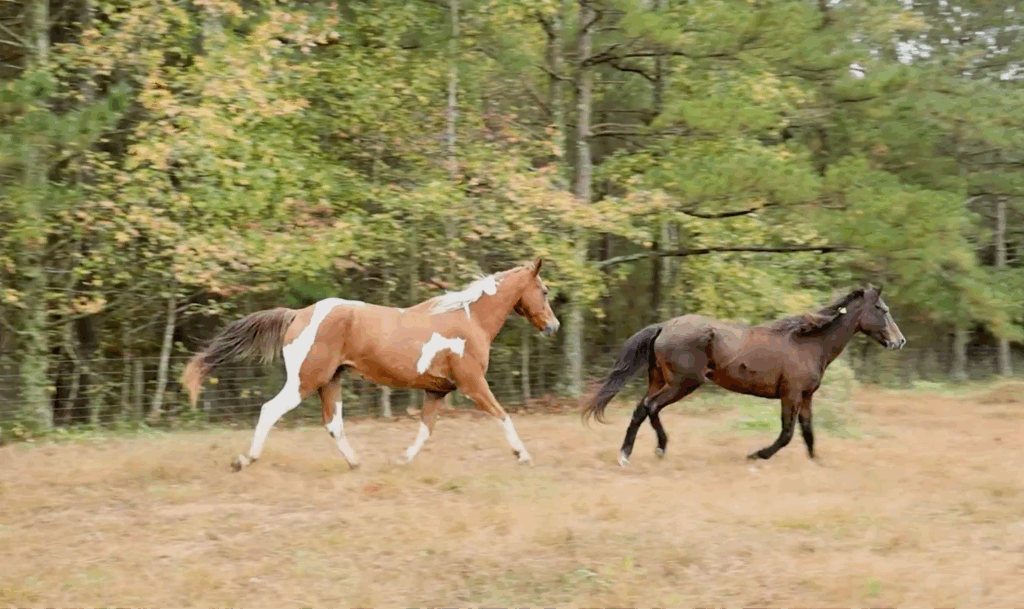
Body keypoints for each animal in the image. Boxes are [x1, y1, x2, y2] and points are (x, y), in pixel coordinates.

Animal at [181, 258, 560, 471]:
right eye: (543, 291)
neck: (469, 319)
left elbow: (426, 429)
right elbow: (503, 415)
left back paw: (355, 462)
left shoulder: (437, 391)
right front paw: (523, 456)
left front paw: (401, 460)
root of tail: (297, 314)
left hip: (330, 381)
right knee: (270, 410)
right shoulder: (472, 383)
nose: (554, 326)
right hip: (305, 380)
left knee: (333, 424)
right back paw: (244, 460)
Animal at [582, 285, 906, 466]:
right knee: (650, 407)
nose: (899, 341)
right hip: (683, 383)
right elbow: (787, 434)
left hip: (661, 380)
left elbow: (808, 433)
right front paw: (756, 455)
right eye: (881, 308)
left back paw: (629, 453)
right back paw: (653, 449)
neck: (810, 344)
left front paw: (817, 463)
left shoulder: (805, 397)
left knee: (642, 409)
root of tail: (663, 326)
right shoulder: (790, 394)